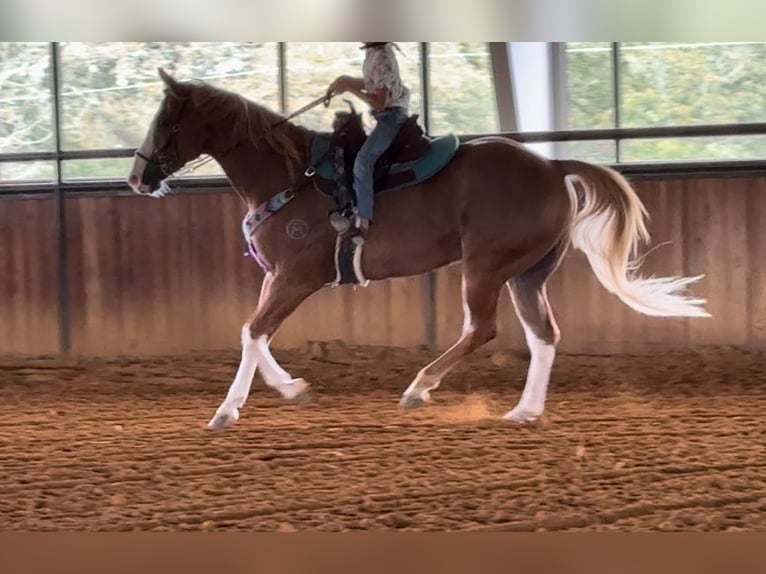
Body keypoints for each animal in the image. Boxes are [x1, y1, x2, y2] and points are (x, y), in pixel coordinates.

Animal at [129, 70, 712, 432]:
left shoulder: (297, 277)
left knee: (483, 328)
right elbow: (253, 332)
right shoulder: (277, 278)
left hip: (485, 266)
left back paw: (419, 387)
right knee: (543, 335)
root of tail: (549, 166)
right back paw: (523, 412)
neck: (292, 176)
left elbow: (253, 331)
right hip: (526, 273)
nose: (138, 178)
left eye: (166, 121)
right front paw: (292, 389)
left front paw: (227, 412)